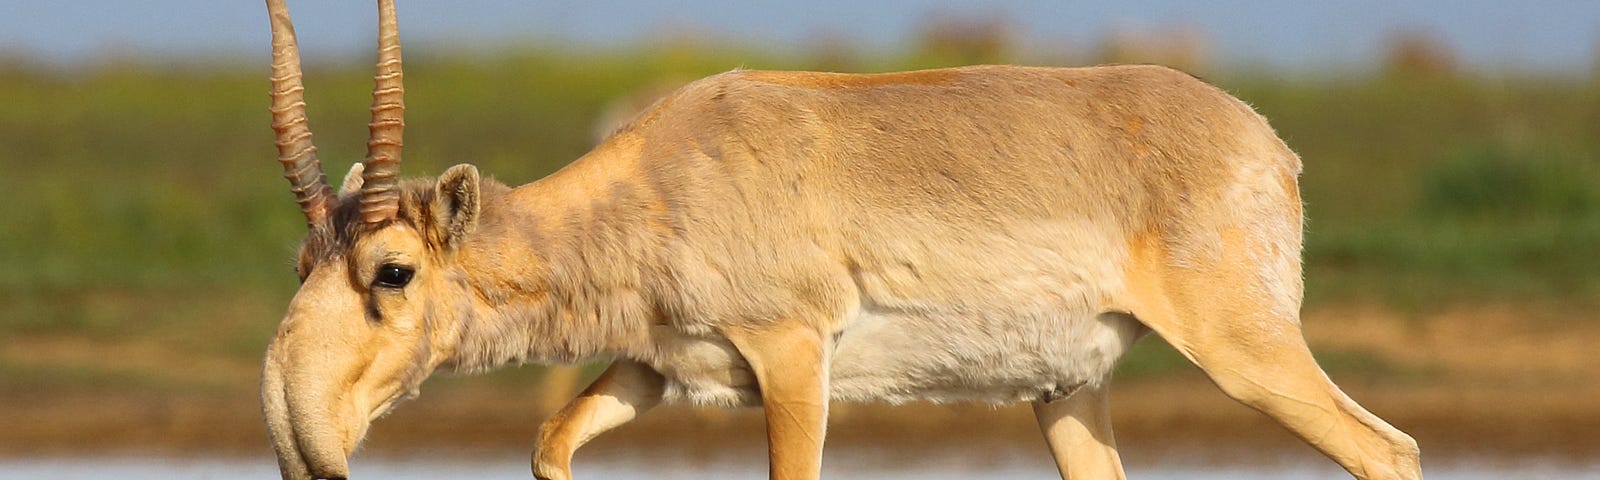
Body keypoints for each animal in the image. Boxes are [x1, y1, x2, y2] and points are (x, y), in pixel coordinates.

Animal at [256, 0, 1420, 480]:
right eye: (302, 262)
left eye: (392, 270)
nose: (300, 431)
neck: (664, 173)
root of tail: (1267, 143)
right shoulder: (654, 367)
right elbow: (549, 443)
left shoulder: (792, 359)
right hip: (1066, 395)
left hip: (1246, 352)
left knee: (1391, 451)